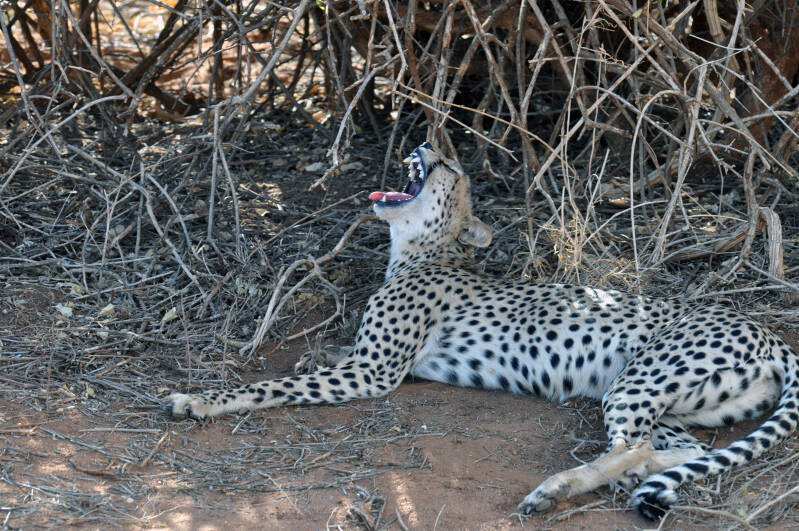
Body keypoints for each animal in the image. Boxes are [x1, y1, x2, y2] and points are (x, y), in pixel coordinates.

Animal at [169, 141, 799, 520]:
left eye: (449, 166)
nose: (426, 142)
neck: (420, 250)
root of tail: (771, 335)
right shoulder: (368, 360)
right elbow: (324, 354)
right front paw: (308, 354)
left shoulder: (374, 374)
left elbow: (269, 387)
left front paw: (200, 401)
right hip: (675, 404)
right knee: (675, 449)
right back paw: (630, 482)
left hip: (637, 381)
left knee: (633, 445)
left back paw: (554, 489)